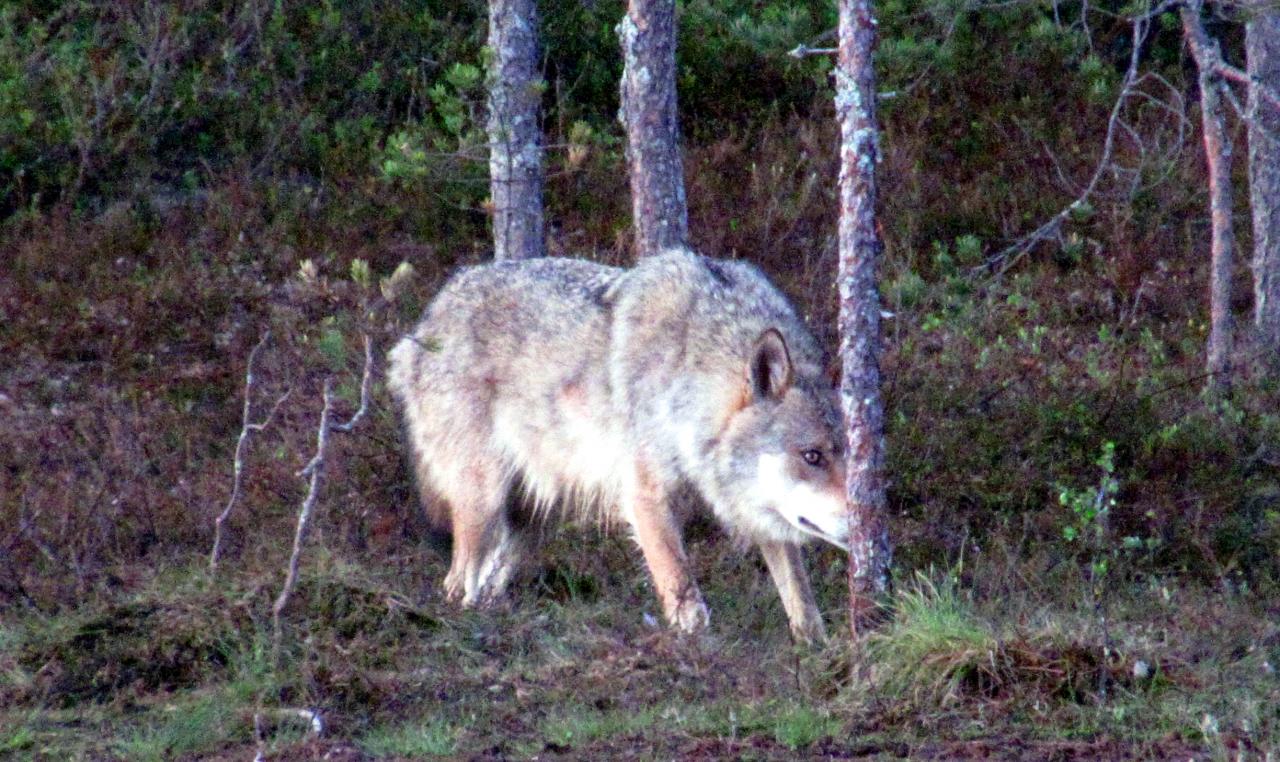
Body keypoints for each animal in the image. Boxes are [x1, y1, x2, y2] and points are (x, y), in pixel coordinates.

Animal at [386, 247, 849, 640]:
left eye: (848, 456)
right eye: (812, 456)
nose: (860, 521)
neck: (691, 371)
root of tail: (424, 323)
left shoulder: (756, 510)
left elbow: (802, 602)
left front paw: (818, 654)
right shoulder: (645, 497)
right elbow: (685, 597)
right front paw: (696, 650)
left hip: (533, 520)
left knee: (486, 583)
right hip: (484, 503)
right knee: (456, 583)